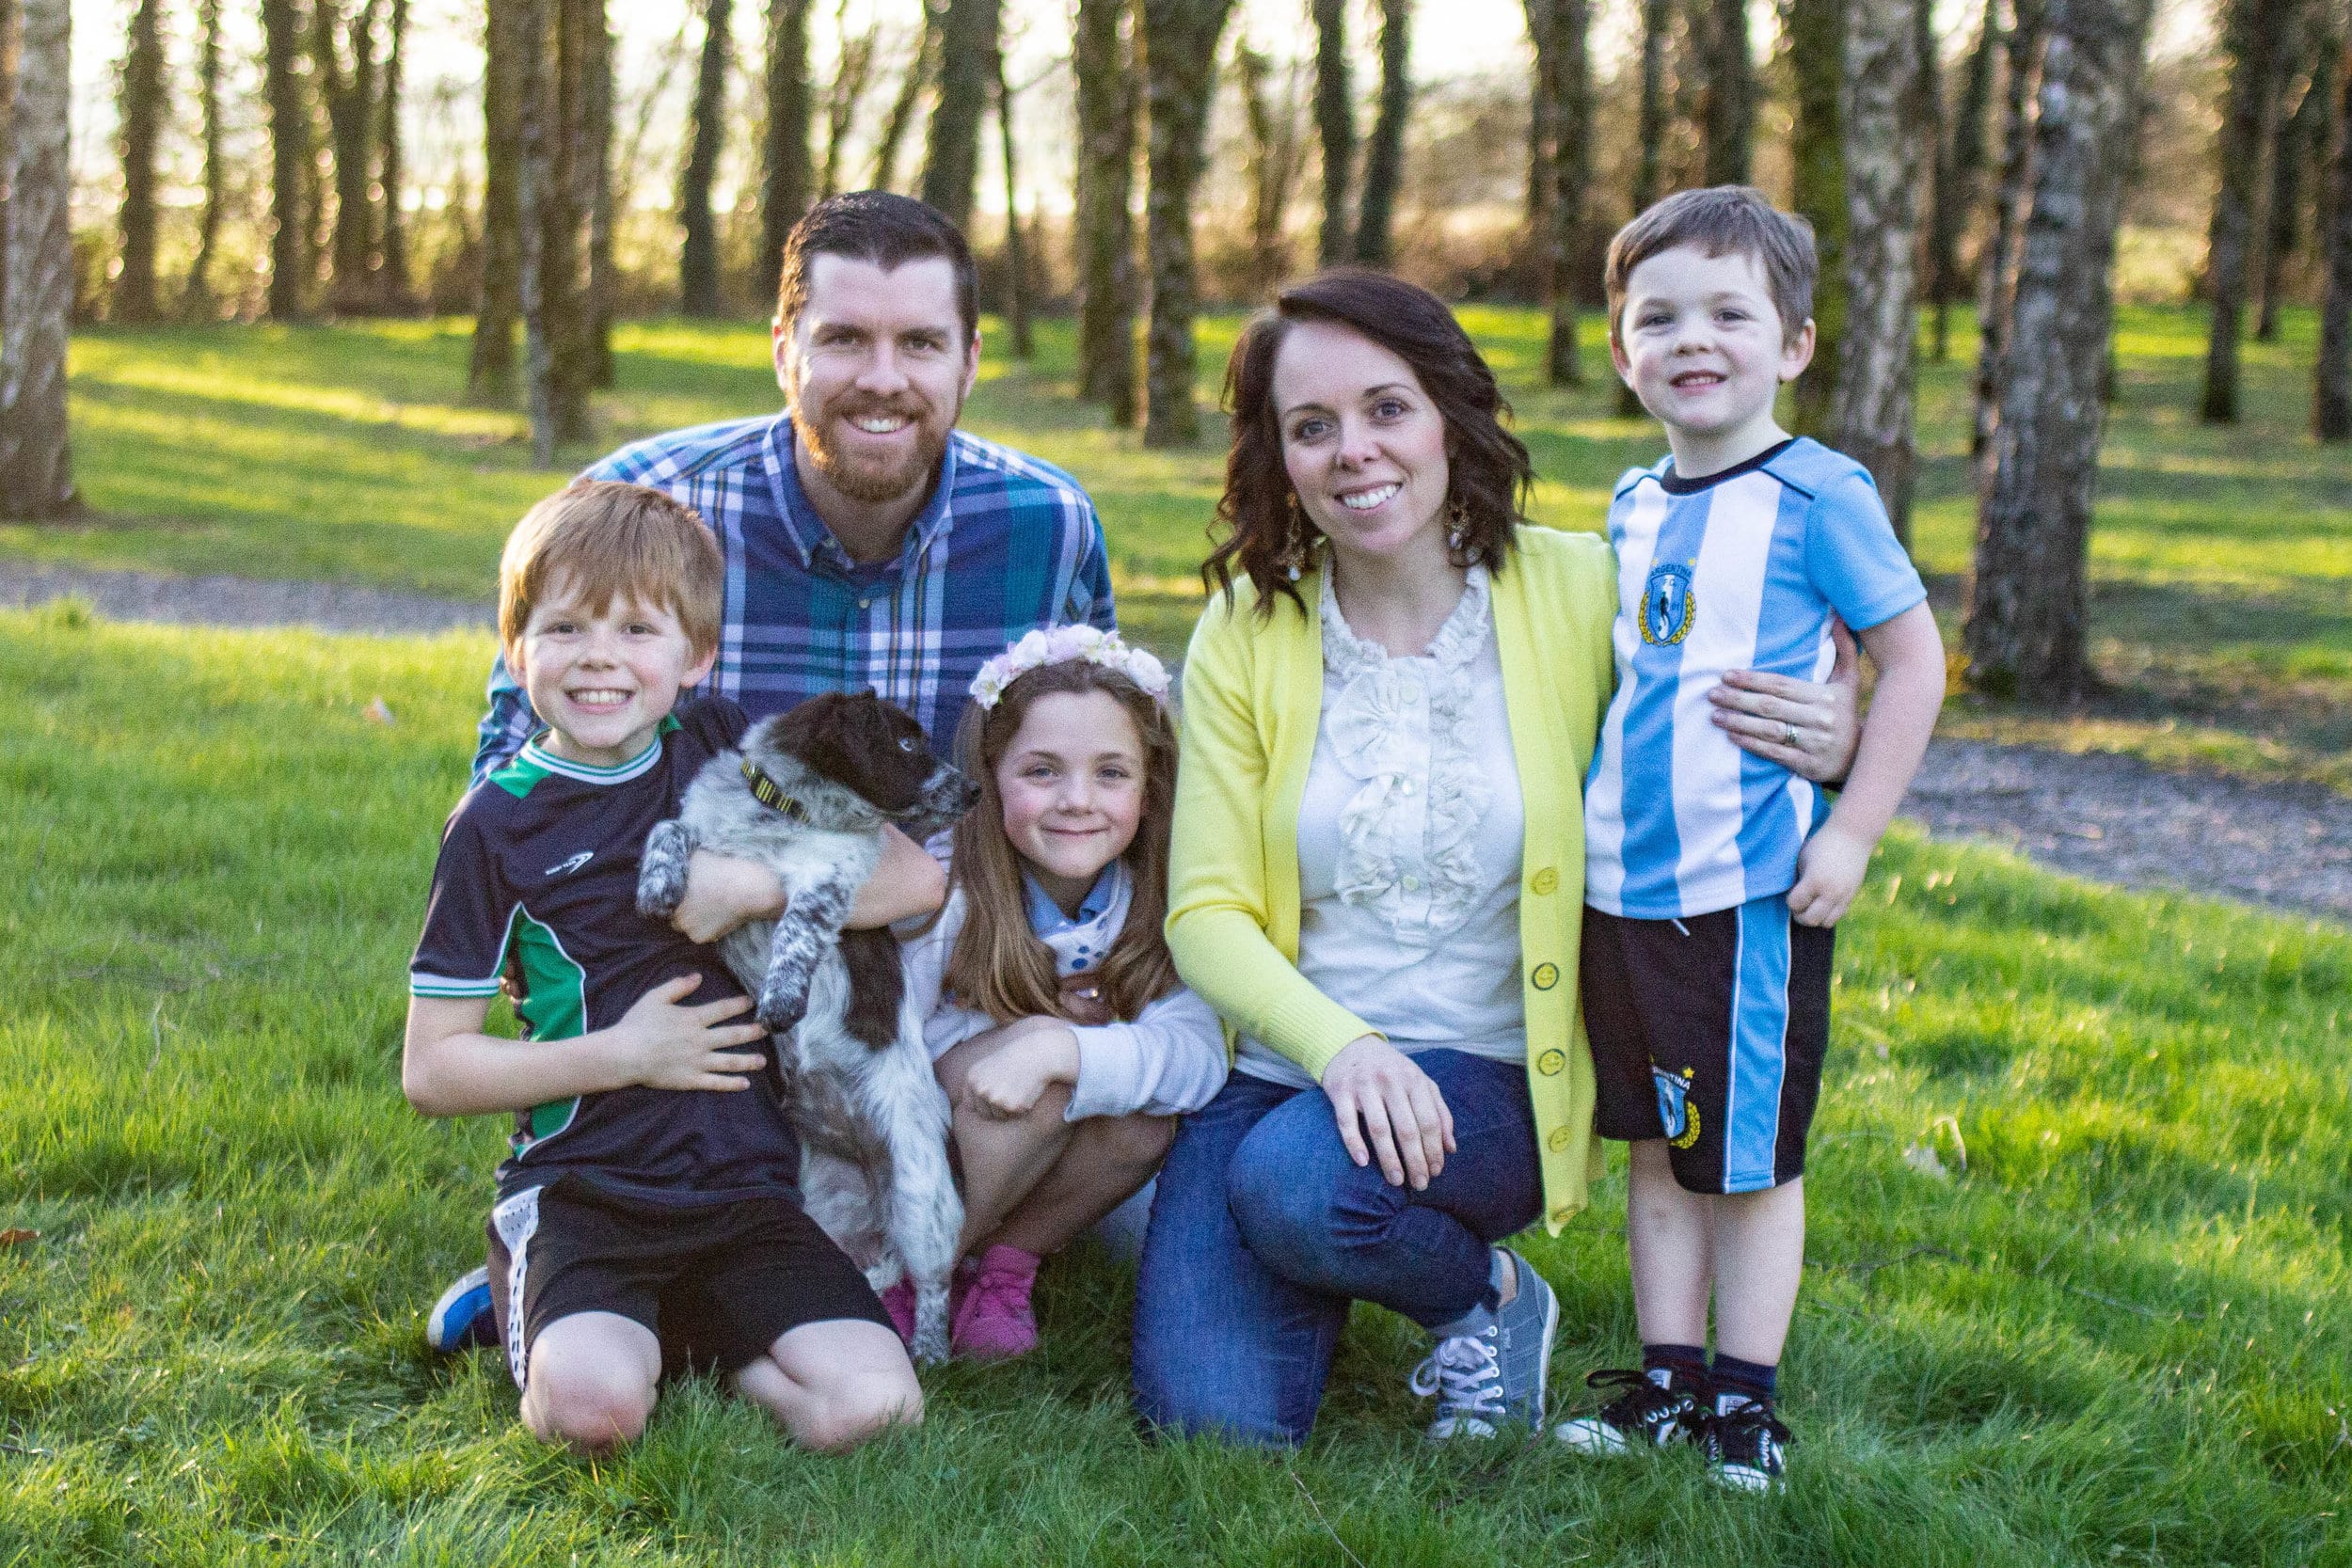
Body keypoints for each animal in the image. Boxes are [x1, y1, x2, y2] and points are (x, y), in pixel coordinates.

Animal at [635, 690, 974, 1363]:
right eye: (907, 743)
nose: (974, 789)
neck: (779, 813)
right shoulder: (706, 829)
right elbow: (670, 827)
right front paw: (658, 882)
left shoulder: (829, 878)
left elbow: (796, 930)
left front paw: (782, 999)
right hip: (818, 1203)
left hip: (921, 1190)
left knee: (932, 1278)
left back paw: (930, 1350)